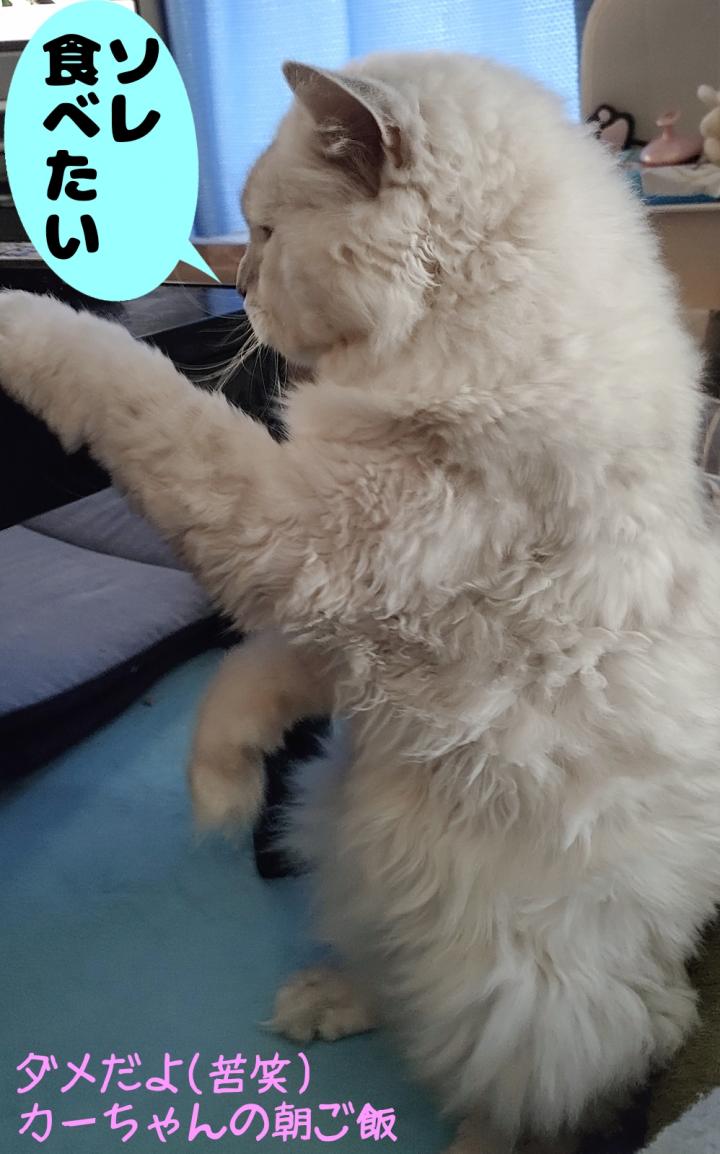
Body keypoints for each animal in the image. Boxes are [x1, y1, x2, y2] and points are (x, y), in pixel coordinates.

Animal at [2, 51, 720, 1154]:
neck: (474, 336)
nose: (235, 284)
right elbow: (244, 681)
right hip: (361, 851)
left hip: (520, 982)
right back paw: (320, 999)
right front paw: (220, 790)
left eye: (264, 234)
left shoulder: (299, 540)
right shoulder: (338, 628)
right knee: (396, 975)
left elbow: (128, 383)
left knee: (541, 1080)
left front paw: (19, 319)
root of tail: (671, 971)